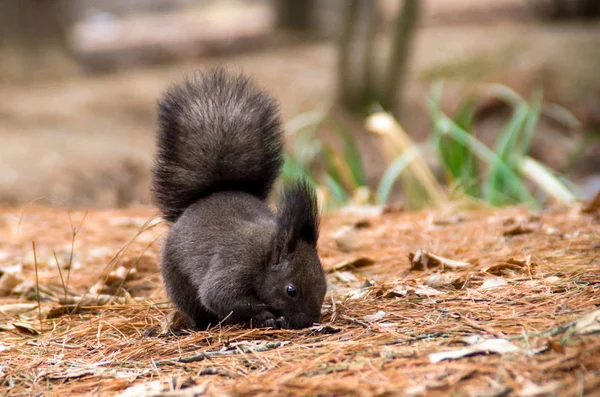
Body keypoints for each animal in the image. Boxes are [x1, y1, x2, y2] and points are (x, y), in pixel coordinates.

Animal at [150, 68, 328, 328]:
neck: (266, 254)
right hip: (178, 281)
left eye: (325, 284)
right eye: (291, 290)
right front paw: (266, 316)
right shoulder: (235, 266)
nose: (309, 321)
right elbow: (219, 296)